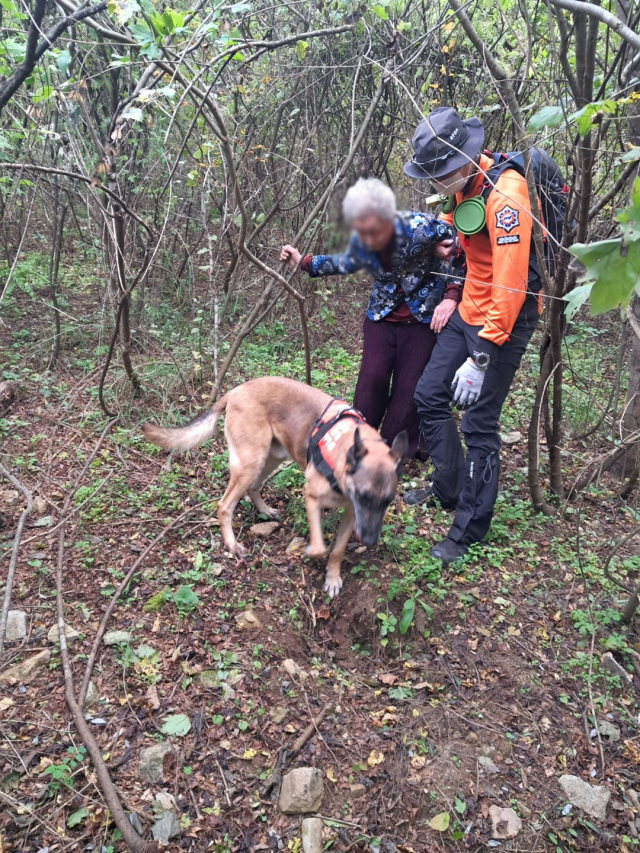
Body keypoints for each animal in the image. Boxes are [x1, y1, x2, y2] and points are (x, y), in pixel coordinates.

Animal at [143, 376, 408, 596]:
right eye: (363, 497)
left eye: (387, 501)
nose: (370, 540)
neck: (341, 461)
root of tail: (234, 391)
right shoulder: (313, 498)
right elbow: (320, 547)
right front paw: (311, 552)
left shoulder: (352, 514)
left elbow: (337, 550)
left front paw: (332, 578)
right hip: (251, 462)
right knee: (224, 505)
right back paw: (232, 544)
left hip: (271, 458)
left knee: (253, 488)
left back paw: (264, 511)